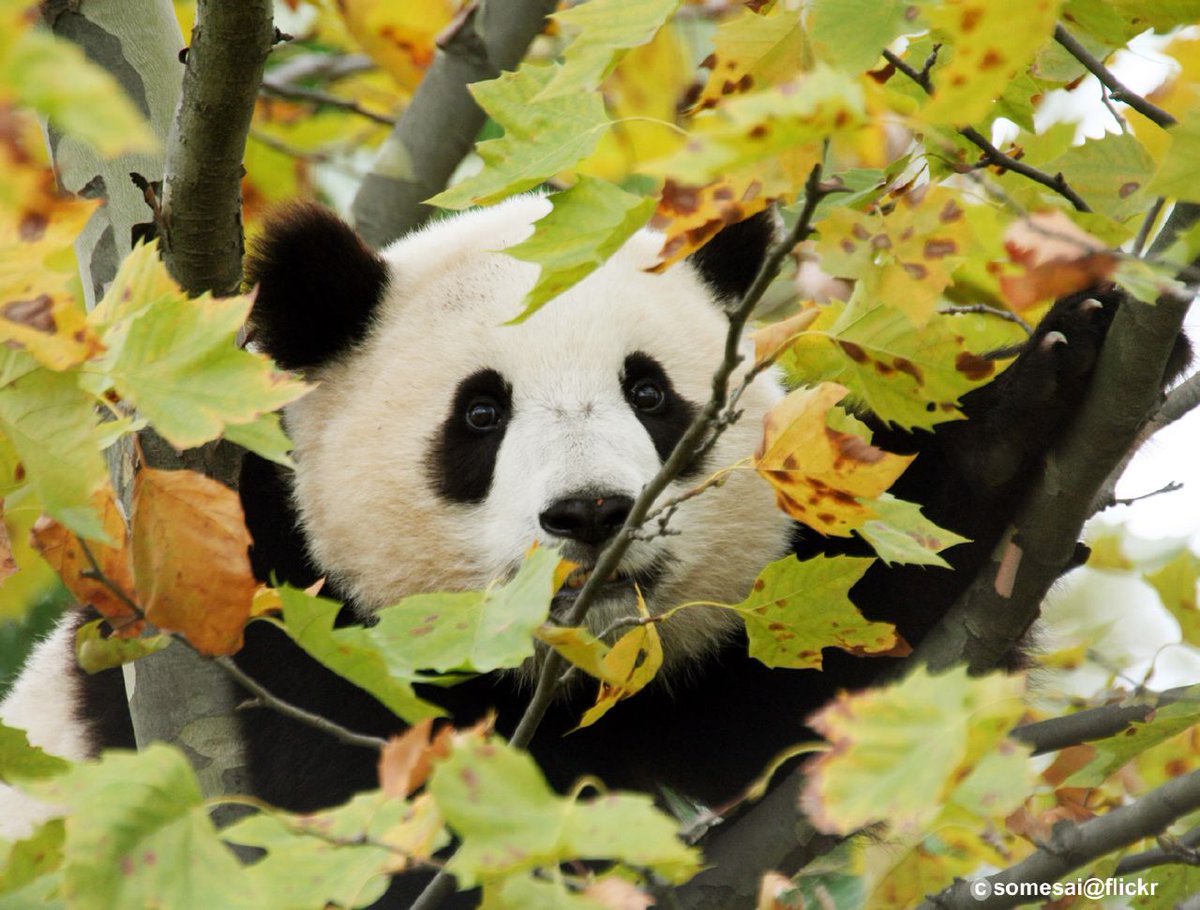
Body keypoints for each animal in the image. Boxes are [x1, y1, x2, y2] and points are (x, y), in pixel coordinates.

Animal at [0, 194, 1172, 905]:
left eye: (650, 393)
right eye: (480, 415)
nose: (595, 514)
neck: (553, 678)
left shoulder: (679, 675)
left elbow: (807, 682)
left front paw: (1050, 367)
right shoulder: (259, 611)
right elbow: (360, 819)